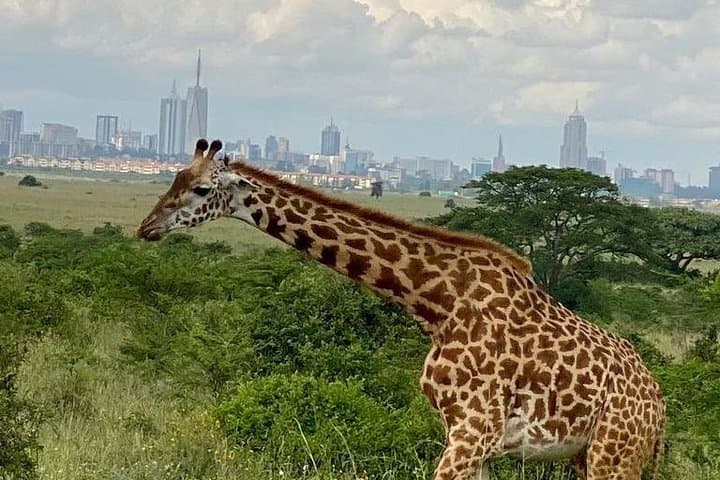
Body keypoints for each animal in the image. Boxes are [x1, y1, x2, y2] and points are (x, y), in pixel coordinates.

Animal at [138, 139, 666, 480]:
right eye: (175, 178)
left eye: (201, 190)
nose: (147, 227)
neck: (438, 305)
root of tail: (658, 403)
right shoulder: (470, 438)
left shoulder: (474, 432)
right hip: (589, 454)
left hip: (614, 453)